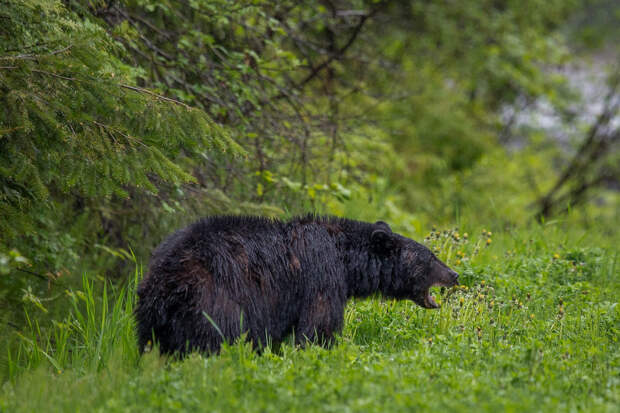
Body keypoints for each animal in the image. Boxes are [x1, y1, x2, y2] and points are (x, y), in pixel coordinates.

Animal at [136, 212, 458, 354]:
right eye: (431, 257)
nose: (454, 274)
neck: (345, 258)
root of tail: (169, 280)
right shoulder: (321, 273)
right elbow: (319, 323)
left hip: (151, 316)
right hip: (215, 301)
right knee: (216, 339)